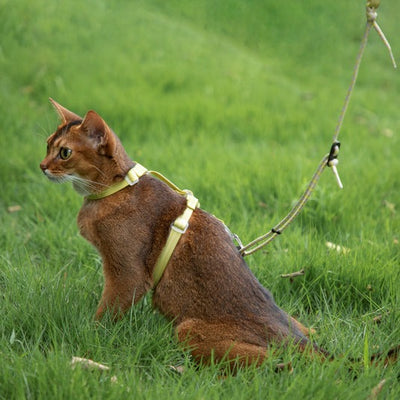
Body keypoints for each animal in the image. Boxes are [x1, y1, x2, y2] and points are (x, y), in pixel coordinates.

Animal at [40, 99, 396, 368]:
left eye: (65, 153)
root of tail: (296, 340)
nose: (42, 166)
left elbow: (106, 313)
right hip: (296, 323)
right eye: (46, 146)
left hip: (188, 329)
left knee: (280, 364)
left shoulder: (127, 274)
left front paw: (90, 337)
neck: (117, 187)